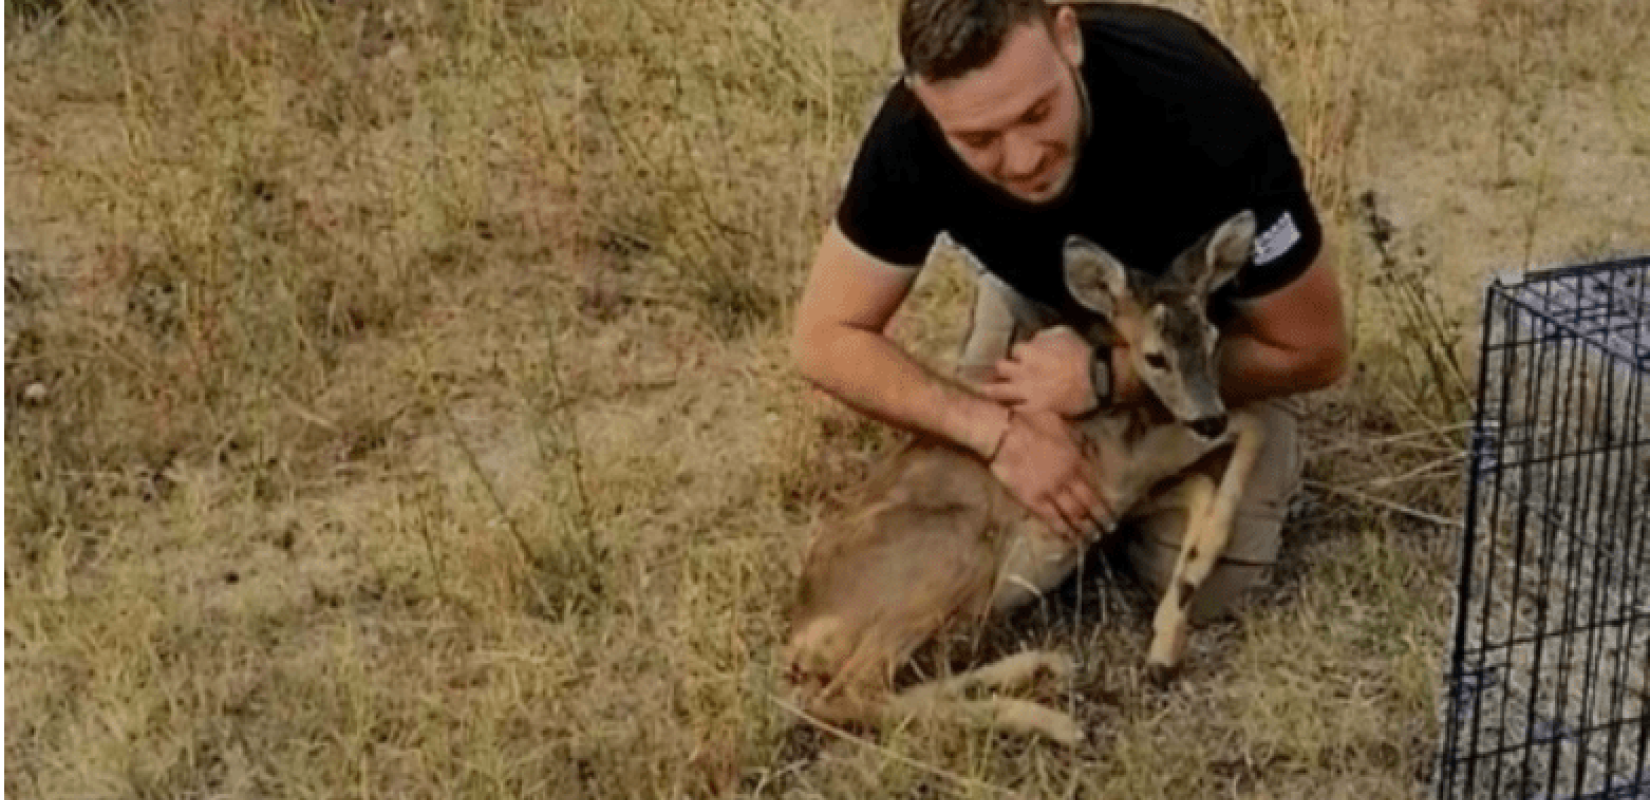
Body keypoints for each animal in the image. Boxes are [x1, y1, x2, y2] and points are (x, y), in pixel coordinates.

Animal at [778, 210, 1267, 742]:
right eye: (1156, 356)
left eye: (1212, 339)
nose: (1209, 417)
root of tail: (803, 632)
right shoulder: (1115, 474)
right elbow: (1249, 429)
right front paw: (1163, 654)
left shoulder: (1113, 503)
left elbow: (1206, 483)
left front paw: (1164, 647)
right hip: (950, 547)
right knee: (846, 694)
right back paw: (1054, 721)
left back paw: (1044, 667)